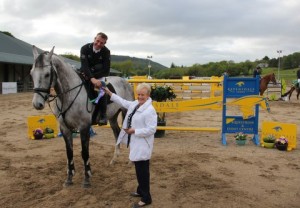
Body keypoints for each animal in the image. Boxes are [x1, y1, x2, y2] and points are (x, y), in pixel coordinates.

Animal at [30, 46, 134, 188]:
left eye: (47, 74)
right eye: (31, 73)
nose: (37, 104)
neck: (68, 96)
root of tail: (125, 82)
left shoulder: (84, 127)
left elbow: (85, 153)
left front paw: (87, 178)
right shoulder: (65, 129)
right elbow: (69, 153)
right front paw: (69, 178)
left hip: (127, 111)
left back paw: (131, 161)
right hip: (112, 117)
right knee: (117, 133)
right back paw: (114, 159)